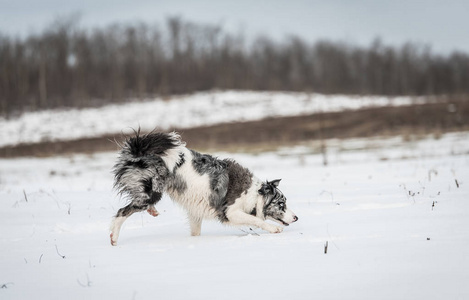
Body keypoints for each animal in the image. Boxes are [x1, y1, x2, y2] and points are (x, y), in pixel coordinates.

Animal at [109, 132, 296, 245]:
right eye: (281, 204)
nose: (296, 218)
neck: (254, 194)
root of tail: (138, 149)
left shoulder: (195, 211)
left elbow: (195, 232)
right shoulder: (230, 211)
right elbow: (256, 220)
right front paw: (274, 229)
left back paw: (152, 211)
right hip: (151, 192)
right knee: (121, 212)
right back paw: (114, 238)